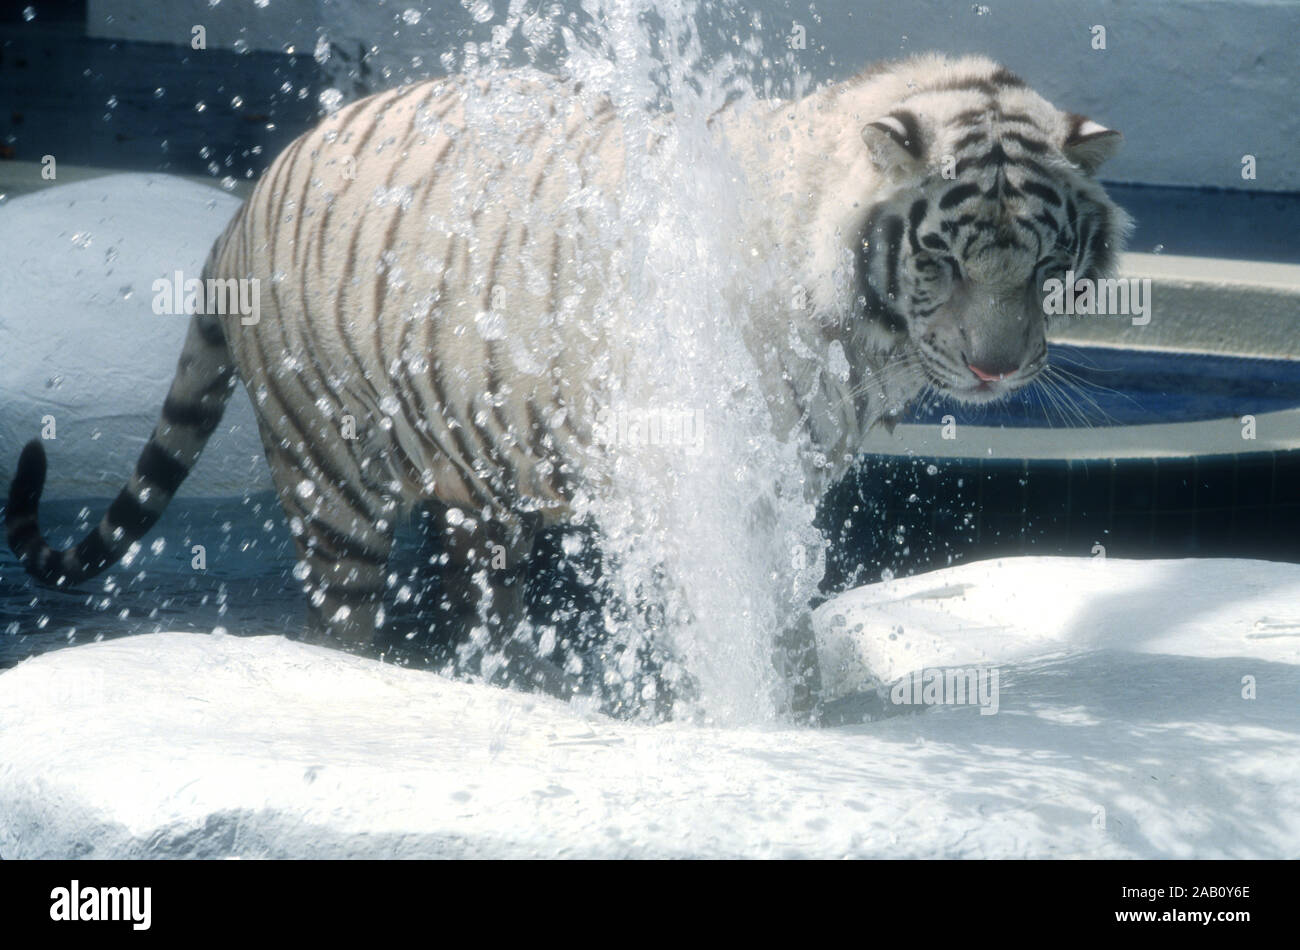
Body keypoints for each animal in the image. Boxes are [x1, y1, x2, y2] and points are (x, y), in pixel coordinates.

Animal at [6, 53, 1128, 712]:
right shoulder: (694, 456)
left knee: (481, 592)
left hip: (471, 466)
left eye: (1042, 261)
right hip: (330, 463)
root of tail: (249, 198)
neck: (867, 338)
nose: (996, 365)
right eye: (942, 259)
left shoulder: (788, 468)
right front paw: (747, 701)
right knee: (343, 606)